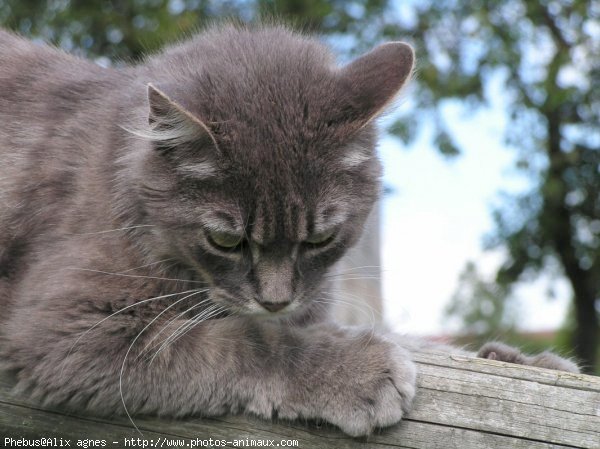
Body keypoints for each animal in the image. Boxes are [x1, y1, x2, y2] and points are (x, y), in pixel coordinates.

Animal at [0, 23, 580, 434]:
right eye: (226, 240)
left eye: (320, 239)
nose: (276, 300)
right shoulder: (62, 332)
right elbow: (241, 341)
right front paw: (352, 369)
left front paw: (519, 361)